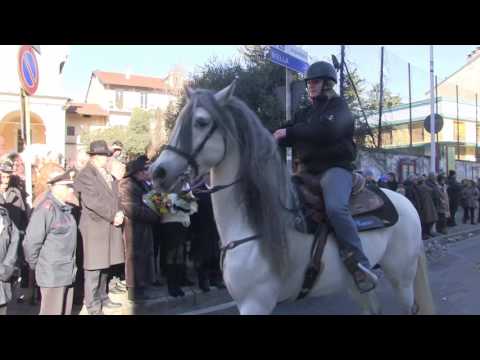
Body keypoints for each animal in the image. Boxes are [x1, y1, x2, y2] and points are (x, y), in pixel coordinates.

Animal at [152, 81, 436, 316]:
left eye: (201, 122)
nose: (158, 172)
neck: (250, 226)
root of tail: (405, 202)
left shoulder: (256, 303)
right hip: (356, 284)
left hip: (402, 278)